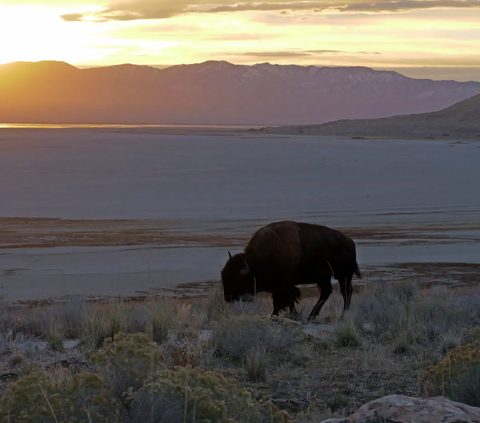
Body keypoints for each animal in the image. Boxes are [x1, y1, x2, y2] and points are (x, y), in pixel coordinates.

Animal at [221, 222, 360, 322]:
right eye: (224, 276)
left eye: (236, 278)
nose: (227, 297)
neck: (258, 261)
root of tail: (350, 242)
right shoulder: (281, 287)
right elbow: (285, 301)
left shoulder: (285, 286)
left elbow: (282, 301)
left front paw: (279, 316)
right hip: (325, 278)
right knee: (326, 292)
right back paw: (311, 316)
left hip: (343, 276)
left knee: (346, 293)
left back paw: (342, 316)